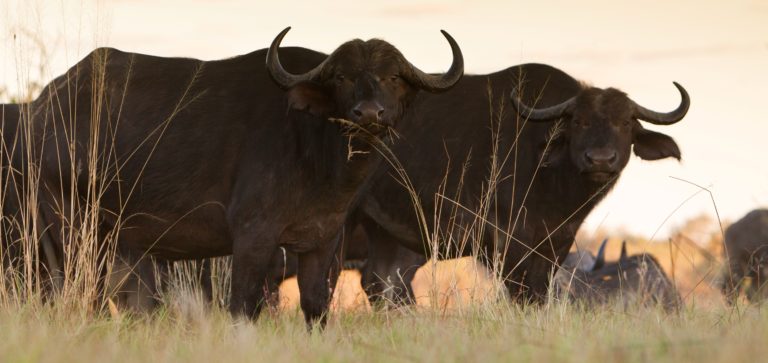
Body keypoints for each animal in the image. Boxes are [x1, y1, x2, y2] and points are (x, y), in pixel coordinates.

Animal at [352, 62, 688, 304]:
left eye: (625, 122)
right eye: (578, 121)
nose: (601, 160)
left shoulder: (556, 244)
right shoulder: (502, 243)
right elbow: (519, 293)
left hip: (385, 232)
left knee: (383, 282)